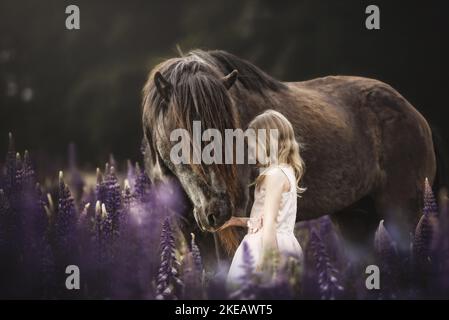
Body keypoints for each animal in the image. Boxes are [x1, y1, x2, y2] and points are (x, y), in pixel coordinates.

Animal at [141, 48, 440, 266]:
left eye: (229, 128)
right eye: (180, 135)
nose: (218, 210)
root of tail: (414, 113)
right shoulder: (188, 227)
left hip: (401, 211)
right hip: (354, 217)